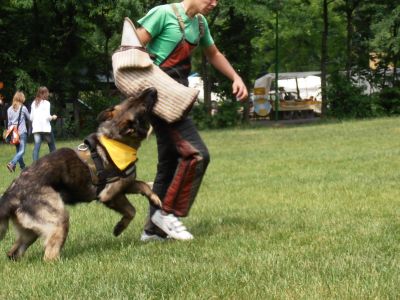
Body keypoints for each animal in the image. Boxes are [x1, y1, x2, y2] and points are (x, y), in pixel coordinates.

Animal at [1, 86, 162, 260]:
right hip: (59, 219)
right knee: (49, 256)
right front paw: (119, 228)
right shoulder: (110, 194)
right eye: (142, 105)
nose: (153, 89)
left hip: (30, 233)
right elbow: (132, 210)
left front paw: (155, 199)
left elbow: (144, 185)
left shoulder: (126, 184)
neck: (117, 139)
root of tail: (11, 194)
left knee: (13, 252)